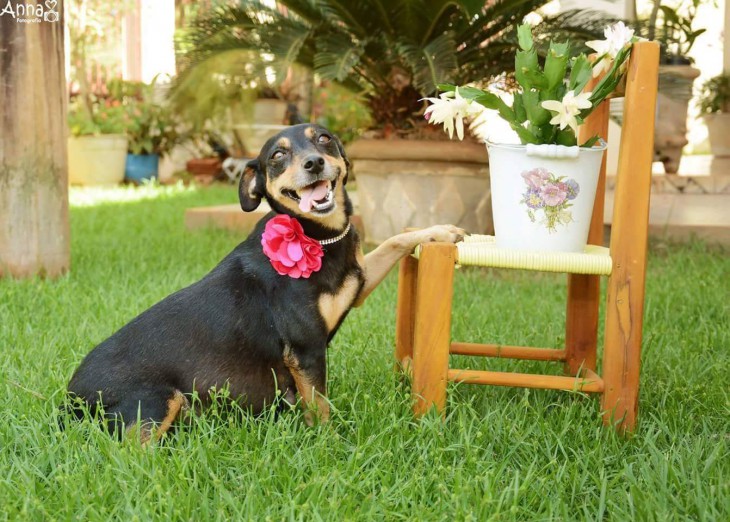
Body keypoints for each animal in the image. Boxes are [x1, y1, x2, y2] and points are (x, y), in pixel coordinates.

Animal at [62, 125, 460, 438]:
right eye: (278, 155)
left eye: (324, 139)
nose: (313, 163)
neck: (318, 237)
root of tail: (69, 402)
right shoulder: (306, 349)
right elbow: (320, 406)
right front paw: (331, 445)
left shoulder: (356, 284)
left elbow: (396, 238)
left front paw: (441, 231)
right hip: (156, 400)